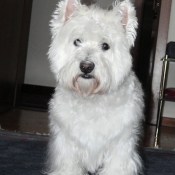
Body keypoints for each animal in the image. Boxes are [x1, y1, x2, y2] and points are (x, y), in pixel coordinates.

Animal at [46, 0, 144, 175]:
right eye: (77, 41)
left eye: (105, 45)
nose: (86, 66)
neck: (90, 97)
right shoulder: (67, 143)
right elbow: (68, 166)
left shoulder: (120, 144)